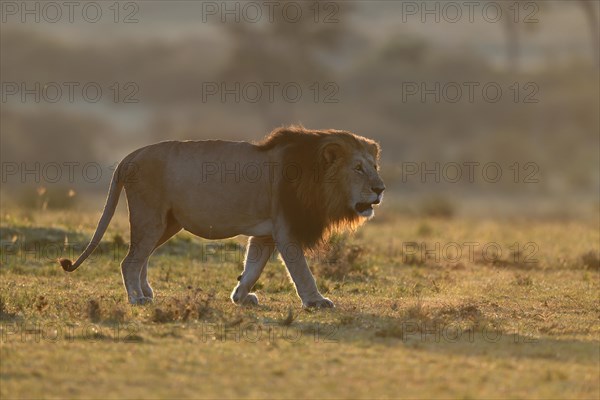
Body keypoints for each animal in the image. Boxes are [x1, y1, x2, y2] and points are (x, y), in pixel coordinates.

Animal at [59, 126, 384, 308]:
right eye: (357, 168)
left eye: (374, 166)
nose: (380, 189)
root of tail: (129, 157)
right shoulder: (286, 230)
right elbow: (301, 271)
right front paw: (316, 301)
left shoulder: (266, 233)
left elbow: (253, 267)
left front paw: (240, 297)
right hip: (150, 216)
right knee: (130, 260)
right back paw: (137, 299)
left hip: (168, 223)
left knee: (142, 257)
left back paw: (147, 293)